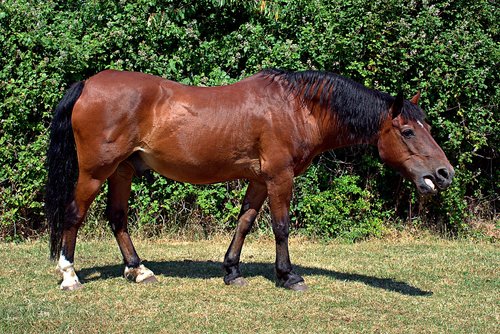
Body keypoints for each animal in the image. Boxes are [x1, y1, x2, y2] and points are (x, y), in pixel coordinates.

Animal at [45, 69, 456, 290]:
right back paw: (69, 275)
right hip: (95, 172)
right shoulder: (279, 177)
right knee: (74, 214)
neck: (297, 108)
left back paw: (139, 270)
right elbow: (281, 226)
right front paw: (288, 276)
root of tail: (88, 84)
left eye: (427, 126)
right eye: (407, 131)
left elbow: (244, 222)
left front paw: (232, 271)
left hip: (123, 171)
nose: (444, 173)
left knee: (117, 218)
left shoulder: (260, 180)